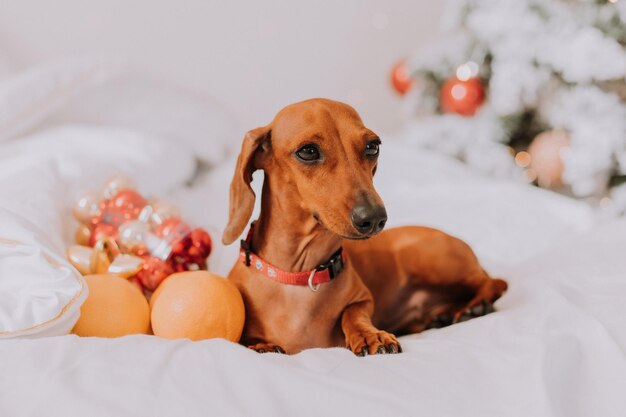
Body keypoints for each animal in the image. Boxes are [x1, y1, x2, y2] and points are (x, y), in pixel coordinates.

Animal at [222, 97, 504, 354]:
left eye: (372, 146)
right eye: (308, 151)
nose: (374, 218)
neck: (300, 275)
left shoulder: (364, 301)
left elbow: (354, 313)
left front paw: (370, 335)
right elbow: (244, 339)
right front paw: (261, 345)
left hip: (428, 260)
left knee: (496, 282)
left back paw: (473, 307)